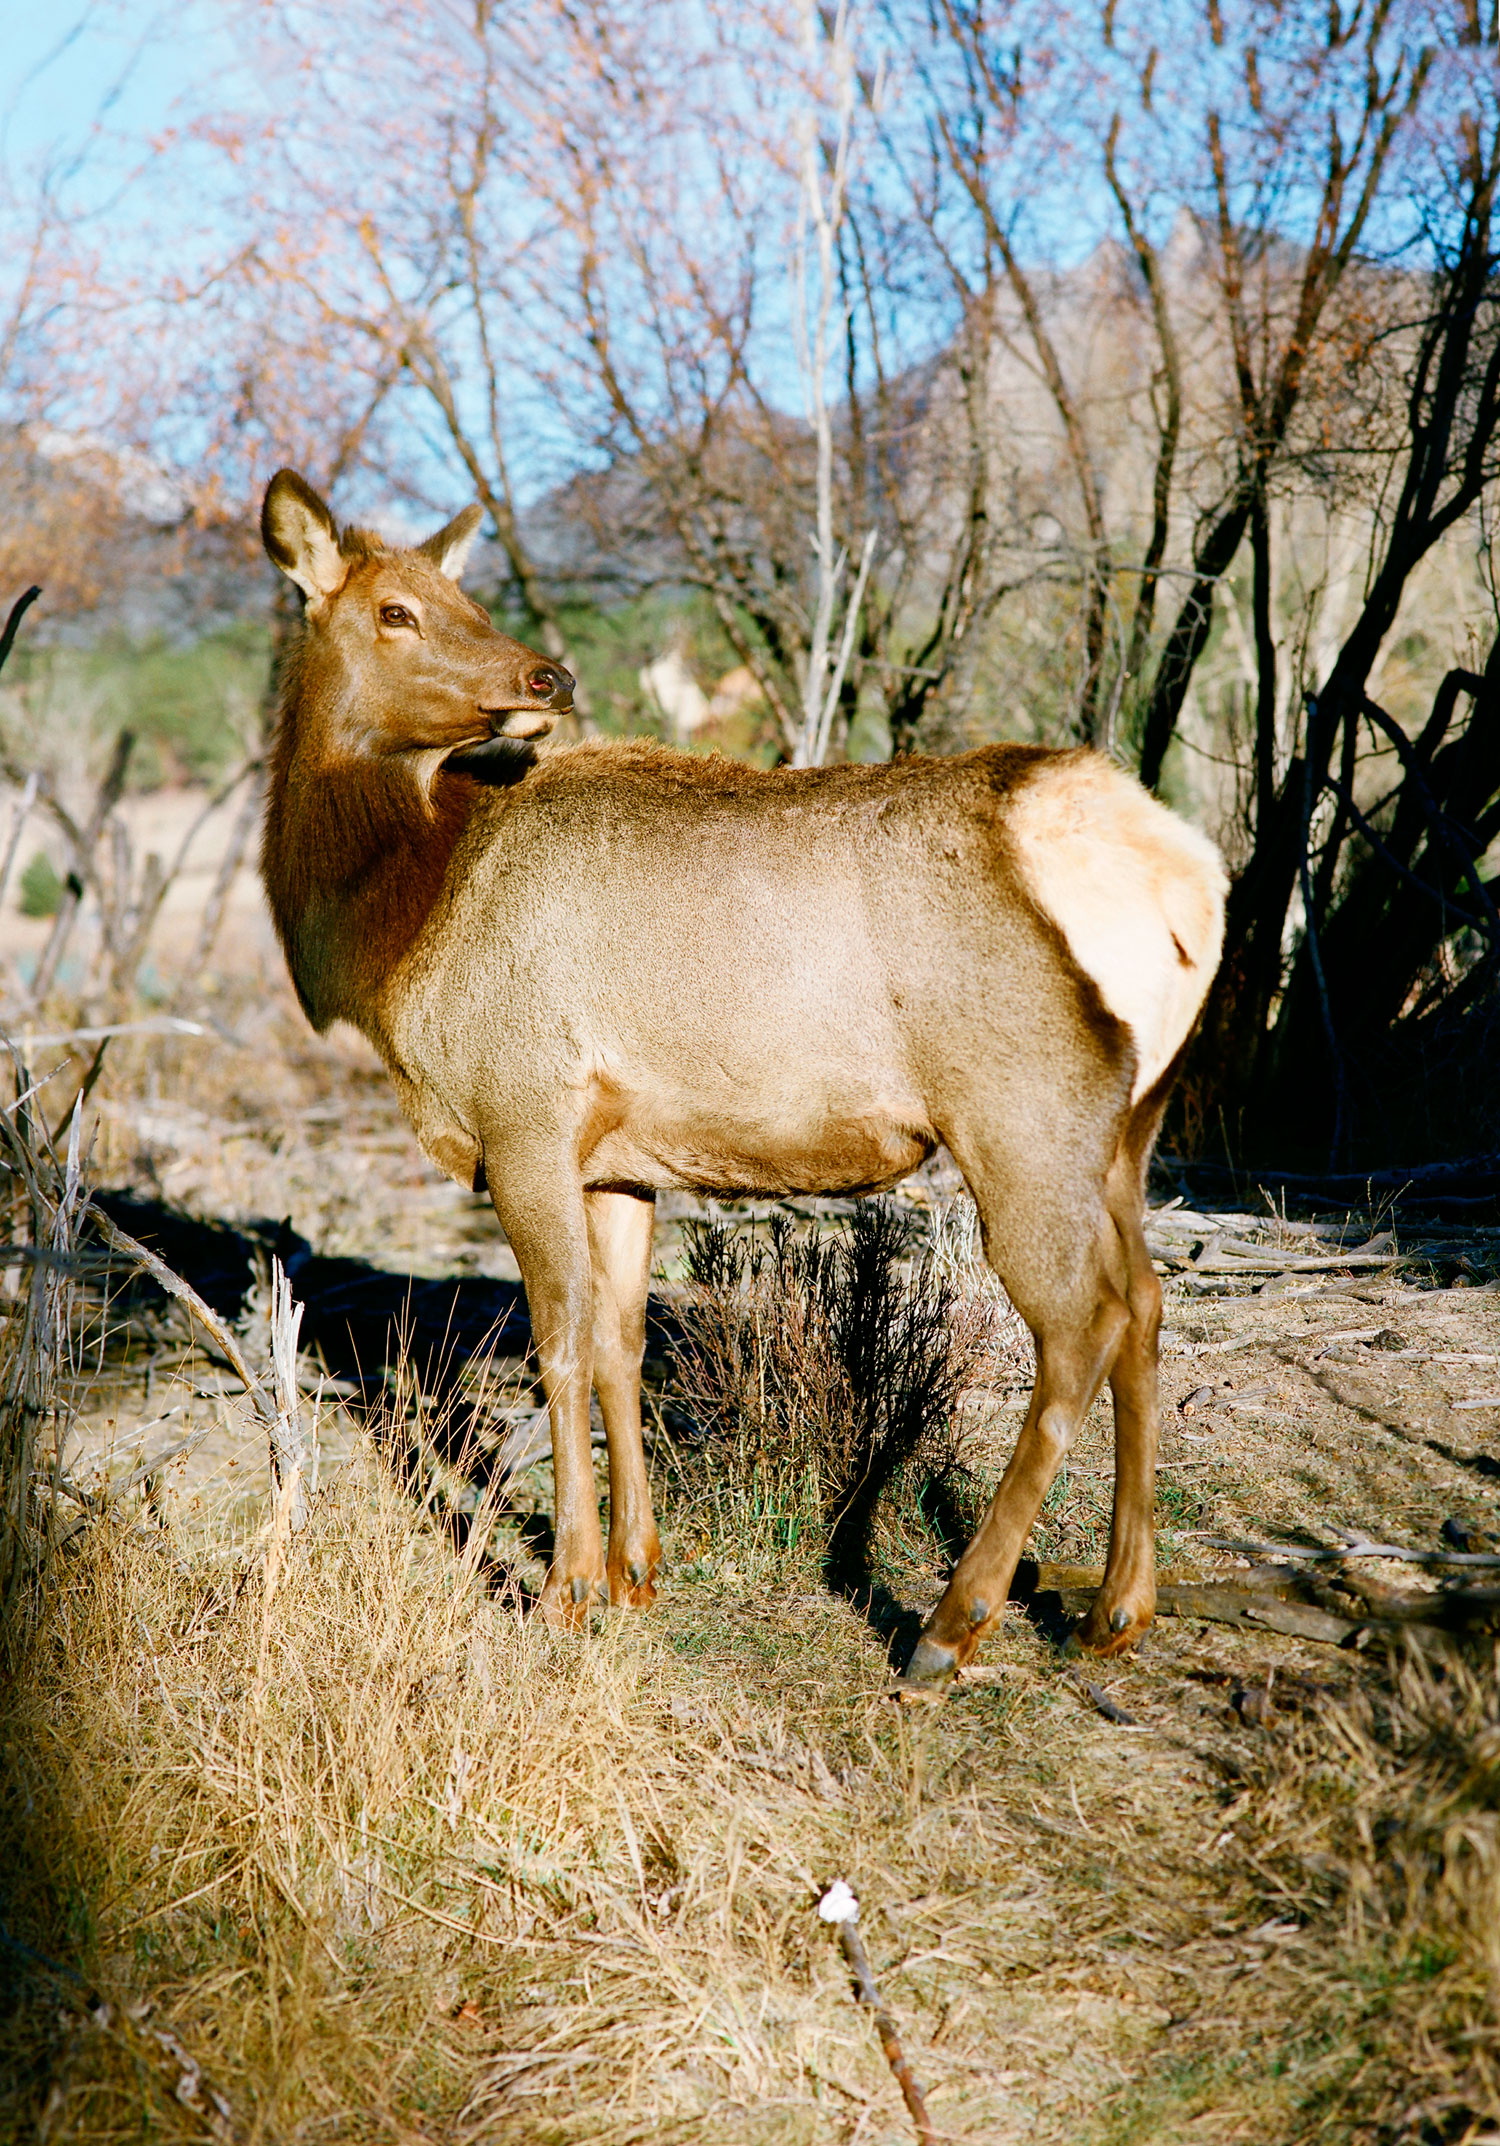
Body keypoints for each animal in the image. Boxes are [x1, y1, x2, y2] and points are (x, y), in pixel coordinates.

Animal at [259, 469, 1226, 1692]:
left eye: (450, 597)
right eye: (396, 608)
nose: (544, 677)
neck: (397, 924)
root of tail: (1186, 873)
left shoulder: (522, 1113)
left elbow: (559, 1343)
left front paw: (565, 1589)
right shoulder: (616, 1159)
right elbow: (619, 1345)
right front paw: (637, 1572)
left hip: (1023, 1114)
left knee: (1083, 1325)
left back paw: (950, 1624)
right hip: (1132, 1125)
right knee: (1147, 1301)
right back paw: (1116, 1606)